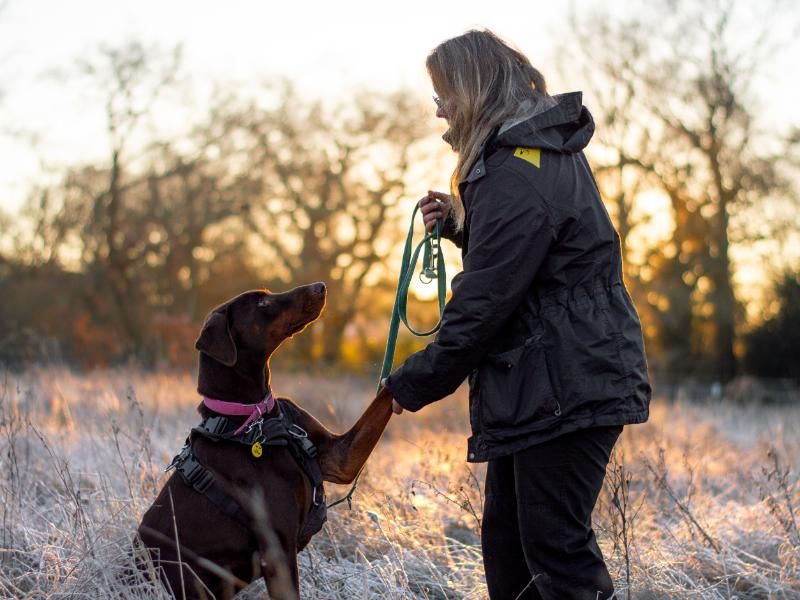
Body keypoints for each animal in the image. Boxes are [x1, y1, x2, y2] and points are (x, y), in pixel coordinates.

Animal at [139, 282, 396, 600]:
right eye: (261, 302)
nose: (320, 286)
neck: (254, 416)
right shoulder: (277, 552)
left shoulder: (339, 457)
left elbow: (384, 398)